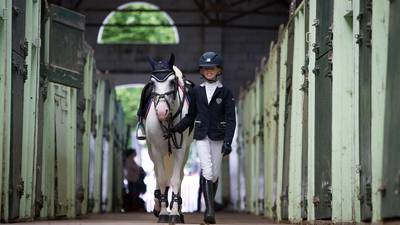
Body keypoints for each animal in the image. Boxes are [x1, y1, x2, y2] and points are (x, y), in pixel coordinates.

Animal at [145, 54, 194, 223]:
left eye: (172, 82)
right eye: (152, 83)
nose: (161, 112)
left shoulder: (180, 149)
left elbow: (175, 179)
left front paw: (174, 213)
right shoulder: (156, 150)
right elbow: (161, 179)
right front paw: (162, 213)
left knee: (179, 175)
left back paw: (178, 208)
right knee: (158, 173)